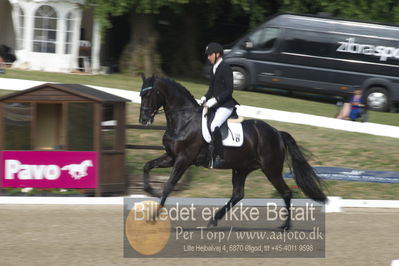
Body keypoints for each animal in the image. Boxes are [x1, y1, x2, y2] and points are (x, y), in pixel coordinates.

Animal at [139, 74, 326, 229]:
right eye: (140, 95)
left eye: (148, 95)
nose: (143, 120)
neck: (185, 120)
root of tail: (277, 133)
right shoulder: (171, 157)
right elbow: (147, 166)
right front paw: (150, 191)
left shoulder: (183, 159)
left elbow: (169, 186)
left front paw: (153, 217)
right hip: (242, 168)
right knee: (237, 195)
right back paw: (213, 220)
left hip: (271, 169)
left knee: (286, 192)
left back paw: (285, 226)